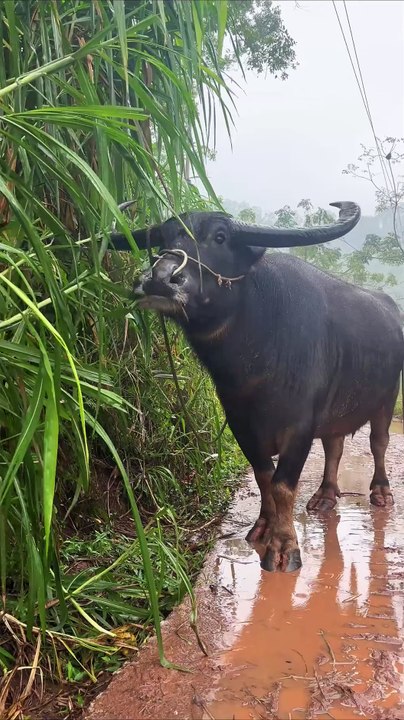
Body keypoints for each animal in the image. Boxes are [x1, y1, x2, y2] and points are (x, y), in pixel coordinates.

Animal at [111, 202, 404, 572]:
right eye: (163, 237)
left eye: (220, 237)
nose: (160, 279)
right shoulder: (240, 422)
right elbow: (263, 475)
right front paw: (263, 526)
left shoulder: (300, 425)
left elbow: (283, 484)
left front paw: (284, 547)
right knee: (334, 446)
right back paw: (325, 495)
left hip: (387, 396)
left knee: (378, 443)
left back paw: (381, 492)